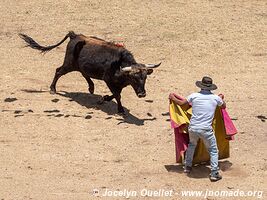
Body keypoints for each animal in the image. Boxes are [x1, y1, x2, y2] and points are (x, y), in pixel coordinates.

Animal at [19, 31, 161, 112]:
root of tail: (74, 35)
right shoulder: (108, 80)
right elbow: (117, 95)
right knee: (58, 71)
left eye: (145, 78)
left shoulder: (118, 84)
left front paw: (104, 98)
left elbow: (116, 94)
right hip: (69, 64)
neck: (120, 65)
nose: (142, 94)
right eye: (134, 78)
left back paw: (91, 88)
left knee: (84, 73)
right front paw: (120, 109)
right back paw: (53, 89)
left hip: (78, 66)